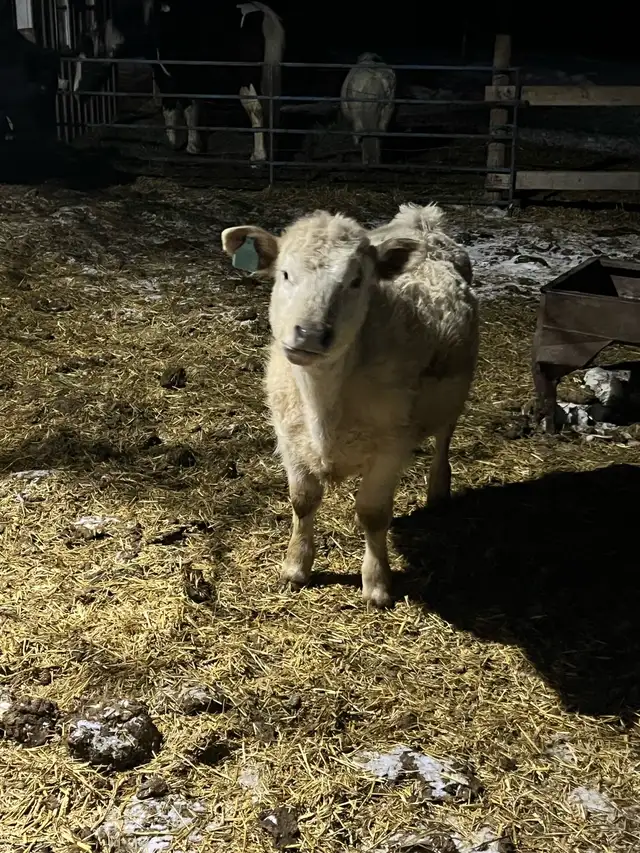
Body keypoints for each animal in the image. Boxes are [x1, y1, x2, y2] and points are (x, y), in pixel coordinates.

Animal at [72, 0, 285, 164]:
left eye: (88, 65)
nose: (76, 95)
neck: (152, 26)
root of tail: (260, 13)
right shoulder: (190, 79)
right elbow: (192, 110)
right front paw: (195, 145)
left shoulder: (168, 78)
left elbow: (171, 110)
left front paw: (177, 143)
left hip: (246, 82)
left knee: (256, 110)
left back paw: (258, 156)